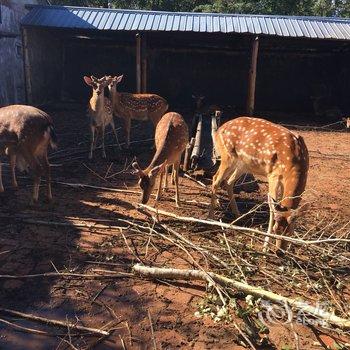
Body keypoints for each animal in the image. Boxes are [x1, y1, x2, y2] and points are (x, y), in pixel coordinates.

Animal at [209, 117, 308, 252]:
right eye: (276, 230)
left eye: (290, 233)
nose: (279, 252)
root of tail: (217, 131)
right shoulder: (273, 175)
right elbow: (272, 208)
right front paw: (265, 246)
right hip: (227, 156)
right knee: (216, 179)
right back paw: (211, 218)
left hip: (243, 164)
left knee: (229, 182)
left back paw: (238, 216)